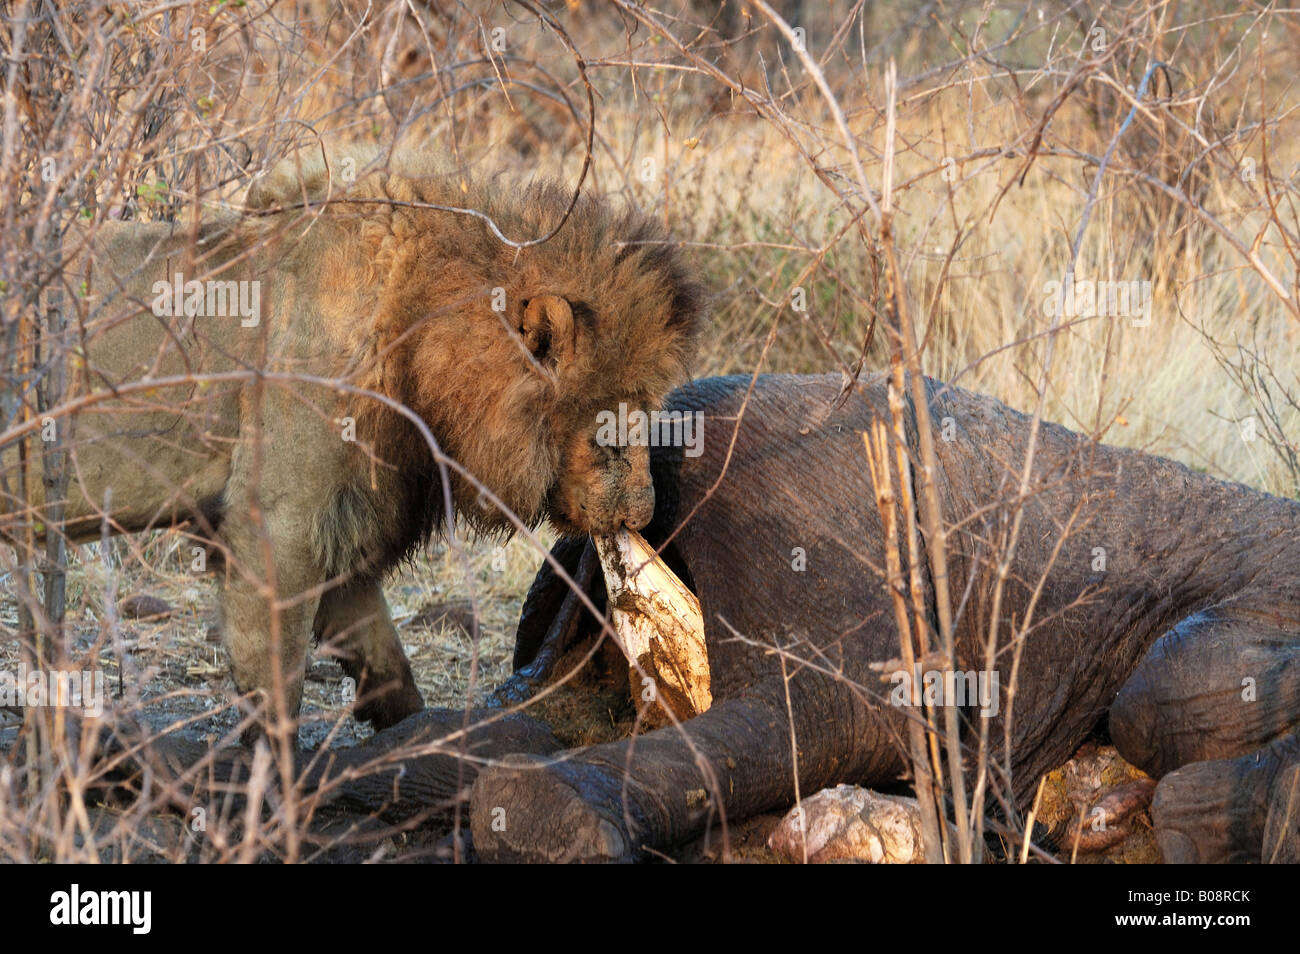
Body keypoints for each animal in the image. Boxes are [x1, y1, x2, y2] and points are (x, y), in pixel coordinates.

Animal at [1, 150, 705, 732]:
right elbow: (276, 682)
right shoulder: (277, 524)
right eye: (611, 422)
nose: (643, 513)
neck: (414, 331)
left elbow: (387, 666)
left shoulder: (344, 523)